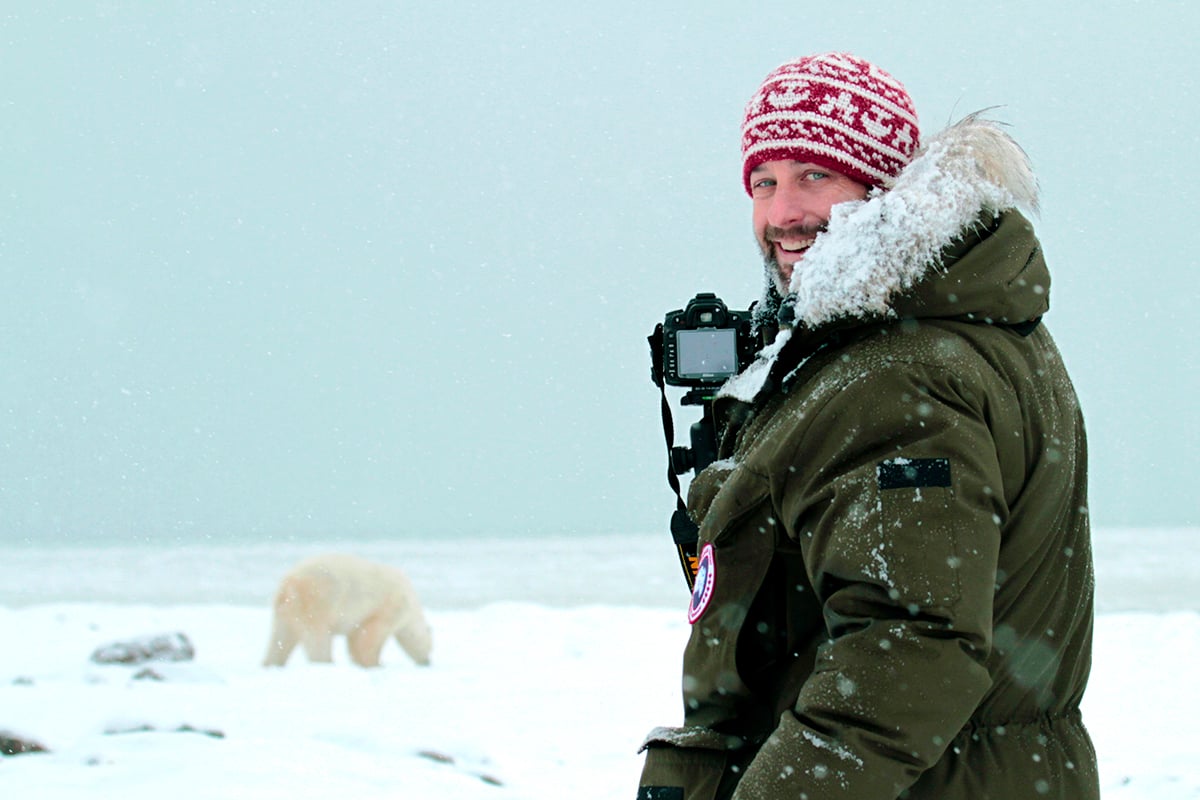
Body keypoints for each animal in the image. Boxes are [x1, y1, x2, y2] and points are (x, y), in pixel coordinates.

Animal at [262, 554, 432, 666]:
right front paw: (375, 663)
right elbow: (370, 635)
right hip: (316, 600)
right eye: (431, 647)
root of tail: (288, 584)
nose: (427, 662)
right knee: (318, 637)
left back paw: (270, 663)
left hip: (286, 610)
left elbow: (354, 637)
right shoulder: (389, 607)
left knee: (280, 637)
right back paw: (326, 661)